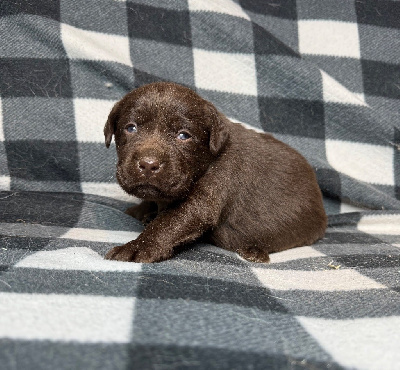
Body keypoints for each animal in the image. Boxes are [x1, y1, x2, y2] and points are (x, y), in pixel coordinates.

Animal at [104, 82, 328, 264]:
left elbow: (168, 223)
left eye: (183, 135)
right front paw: (142, 209)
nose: (148, 164)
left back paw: (254, 251)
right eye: (131, 128)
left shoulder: (208, 194)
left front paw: (138, 247)